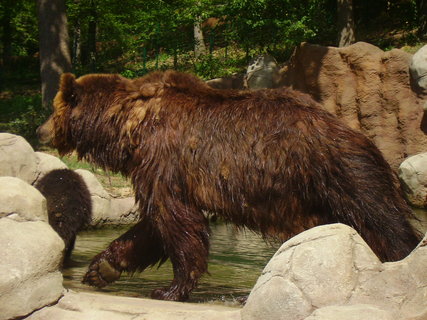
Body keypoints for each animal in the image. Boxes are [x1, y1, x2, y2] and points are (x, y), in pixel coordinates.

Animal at [36, 70, 422, 302]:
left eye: (52, 109)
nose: (39, 131)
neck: (129, 124)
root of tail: (357, 133)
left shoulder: (162, 160)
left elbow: (174, 220)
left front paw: (170, 288)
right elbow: (153, 228)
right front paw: (102, 268)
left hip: (342, 173)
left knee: (383, 221)